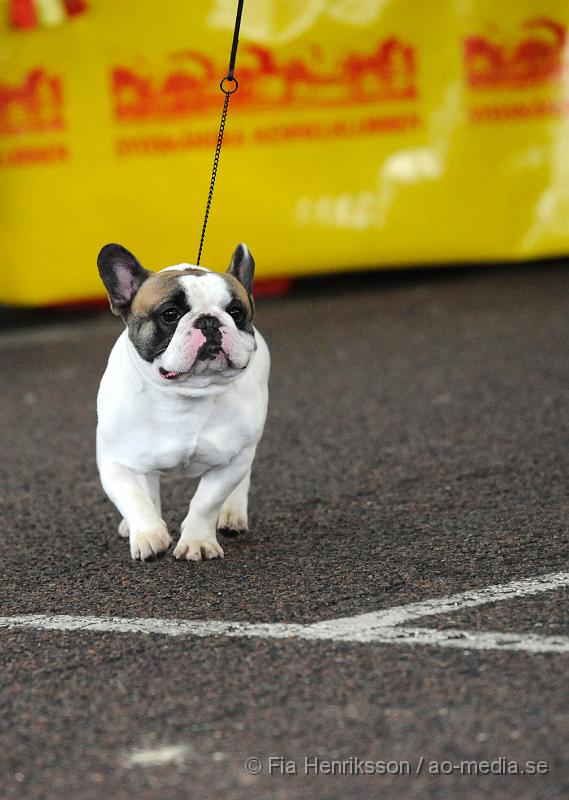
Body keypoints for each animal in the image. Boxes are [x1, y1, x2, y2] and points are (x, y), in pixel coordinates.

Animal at [95, 244, 268, 564]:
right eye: (170, 314)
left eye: (236, 312)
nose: (209, 320)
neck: (186, 395)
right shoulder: (116, 463)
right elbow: (137, 499)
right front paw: (149, 534)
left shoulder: (232, 461)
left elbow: (206, 502)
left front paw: (198, 541)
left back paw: (232, 512)